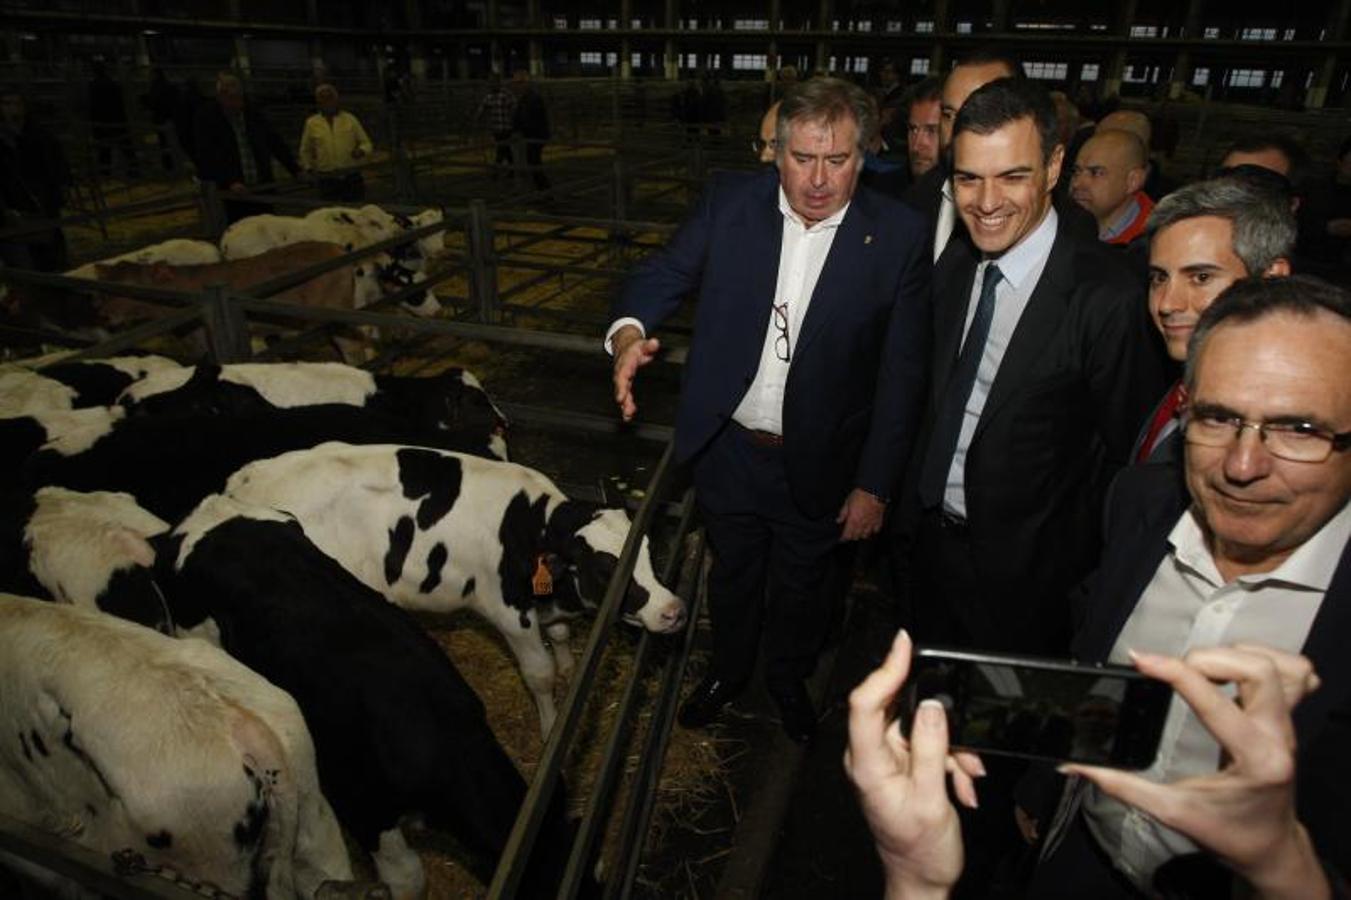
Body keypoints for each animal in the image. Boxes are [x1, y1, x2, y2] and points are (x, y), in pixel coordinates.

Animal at [224, 437, 686, 735]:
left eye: (648, 548)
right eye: (606, 570)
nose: (673, 611)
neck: (529, 528)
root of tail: (245, 479)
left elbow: (558, 634)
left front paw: (571, 666)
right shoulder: (510, 614)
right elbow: (539, 675)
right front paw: (551, 724)